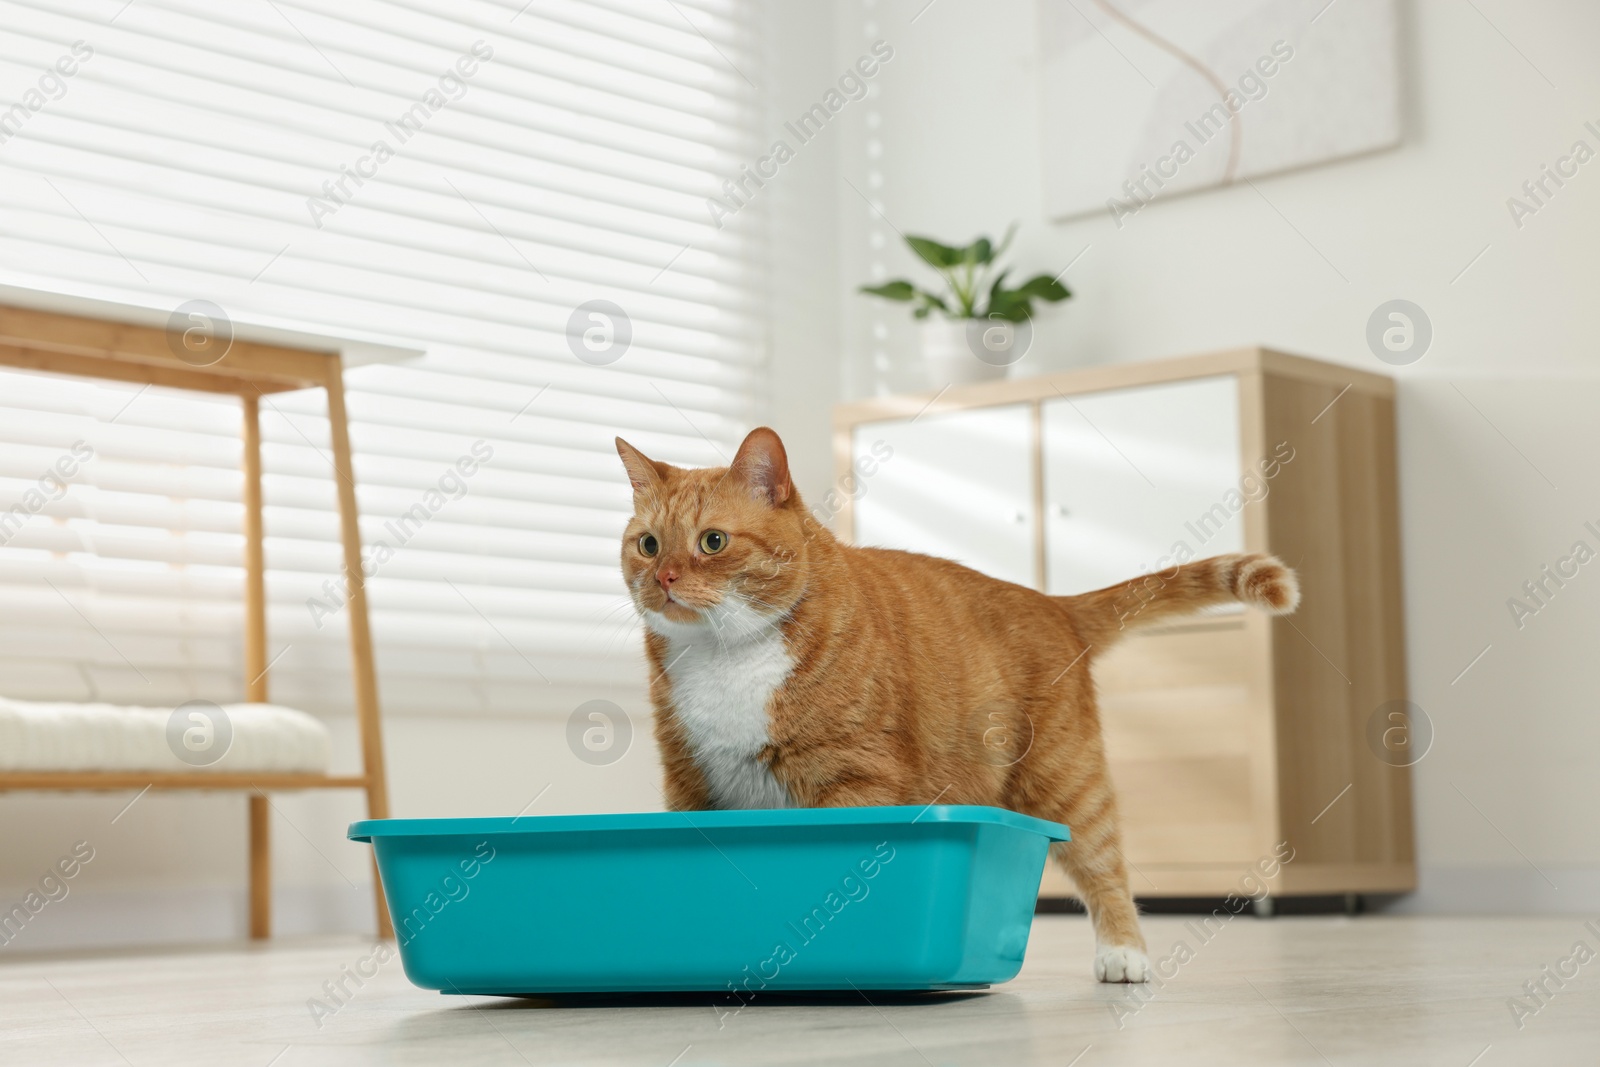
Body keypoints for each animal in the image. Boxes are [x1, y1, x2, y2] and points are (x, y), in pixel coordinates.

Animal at [611, 425, 1299, 985]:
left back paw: (1123, 954)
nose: (663, 578)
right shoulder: (690, 783)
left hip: (1064, 779)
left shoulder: (856, 781)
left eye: (712, 542)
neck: (724, 655)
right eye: (648, 545)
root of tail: (1052, 601)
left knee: (1104, 862)